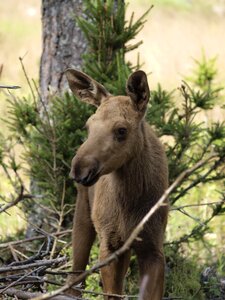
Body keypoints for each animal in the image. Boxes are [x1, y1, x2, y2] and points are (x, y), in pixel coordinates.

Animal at [65, 69, 169, 298]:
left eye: (121, 130)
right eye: (88, 126)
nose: (79, 169)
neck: (130, 199)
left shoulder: (153, 246)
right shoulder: (109, 244)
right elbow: (112, 293)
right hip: (84, 213)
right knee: (75, 274)